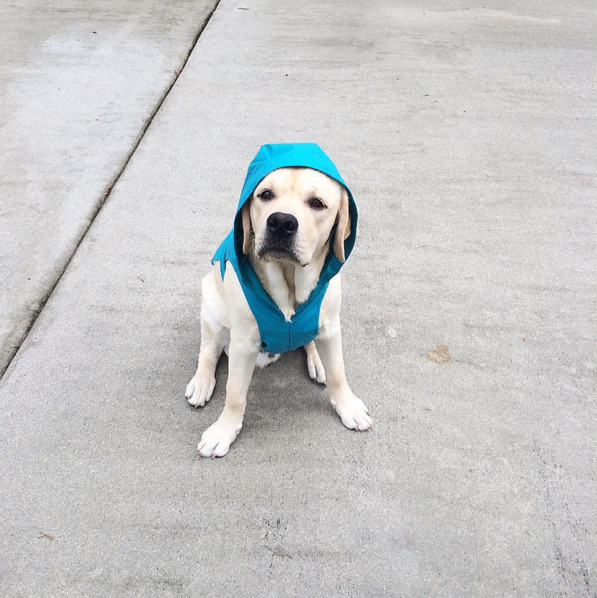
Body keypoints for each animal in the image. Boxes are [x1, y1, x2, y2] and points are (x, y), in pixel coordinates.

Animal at [186, 146, 370, 460]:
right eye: (265, 194)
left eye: (317, 203)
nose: (281, 222)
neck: (289, 282)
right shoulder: (243, 343)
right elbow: (235, 394)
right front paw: (224, 431)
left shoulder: (331, 326)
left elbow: (338, 373)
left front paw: (348, 405)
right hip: (211, 302)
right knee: (209, 350)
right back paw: (201, 382)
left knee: (310, 342)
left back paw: (317, 360)